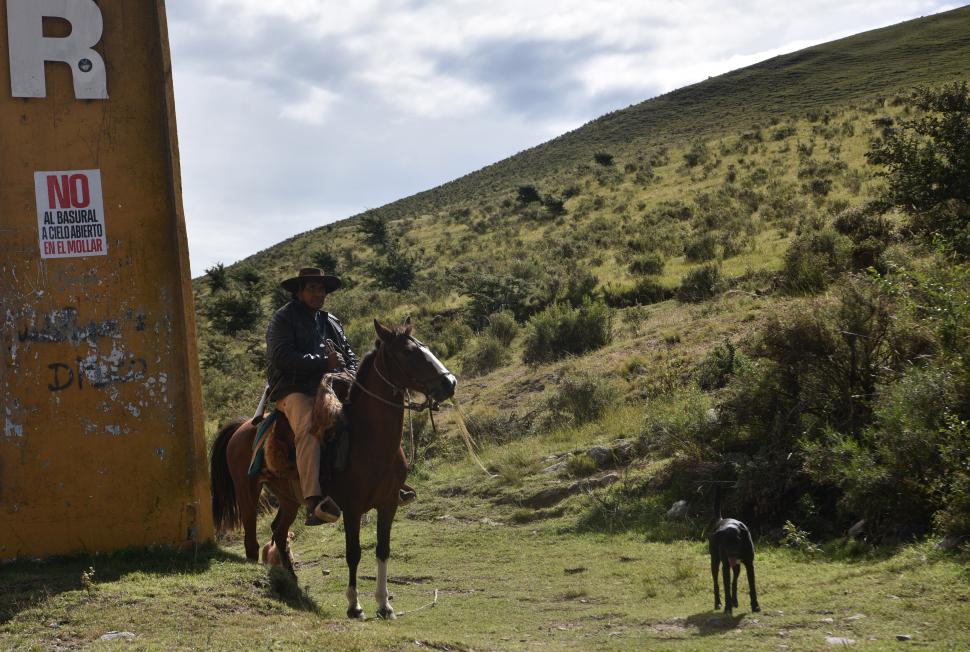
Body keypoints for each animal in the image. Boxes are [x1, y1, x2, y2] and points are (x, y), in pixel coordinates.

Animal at [207, 318, 454, 620]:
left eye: (424, 346)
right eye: (408, 352)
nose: (449, 383)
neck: (370, 440)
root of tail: (242, 427)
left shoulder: (388, 504)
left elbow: (383, 550)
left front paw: (384, 605)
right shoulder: (352, 507)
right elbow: (353, 552)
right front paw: (354, 606)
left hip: (289, 498)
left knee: (279, 531)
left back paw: (292, 582)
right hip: (247, 491)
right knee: (253, 541)